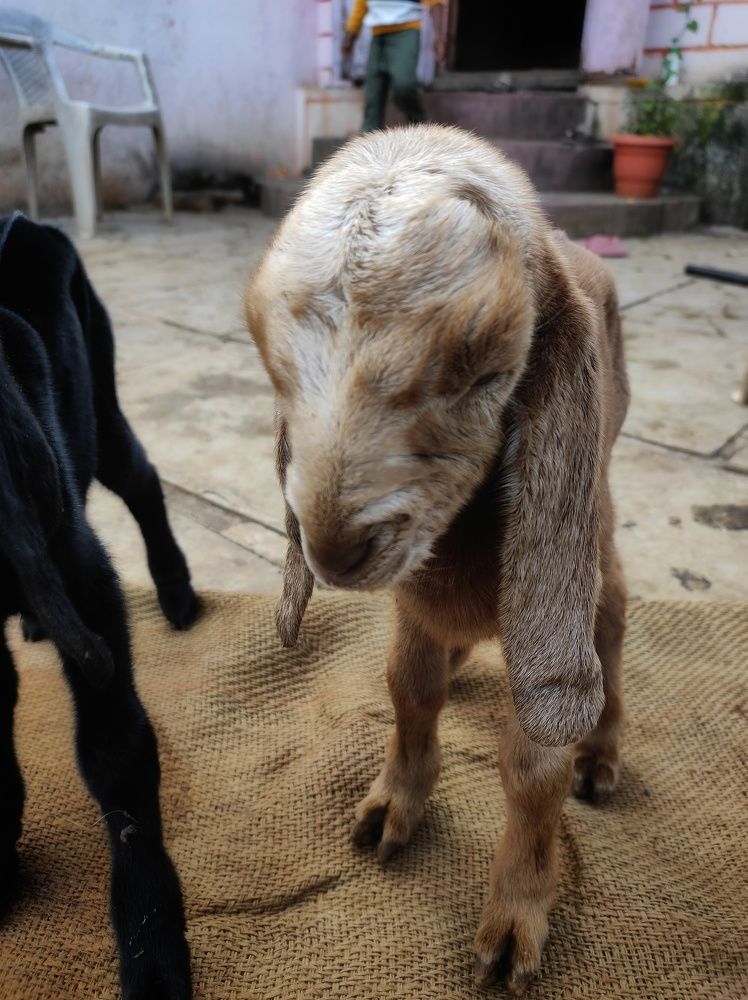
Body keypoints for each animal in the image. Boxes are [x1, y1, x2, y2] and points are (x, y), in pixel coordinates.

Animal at [0, 212, 197, 999]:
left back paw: (178, 592)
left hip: (102, 397)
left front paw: (155, 962)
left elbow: (116, 751)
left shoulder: (83, 579)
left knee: (139, 475)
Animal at [246, 126, 629, 992]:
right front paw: (394, 805)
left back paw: (601, 756)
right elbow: (409, 691)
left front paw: (515, 923)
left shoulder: (550, 608)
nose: (334, 550)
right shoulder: (414, 610)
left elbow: (534, 769)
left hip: (600, 560)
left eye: (488, 372)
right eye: (274, 370)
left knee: (612, 645)